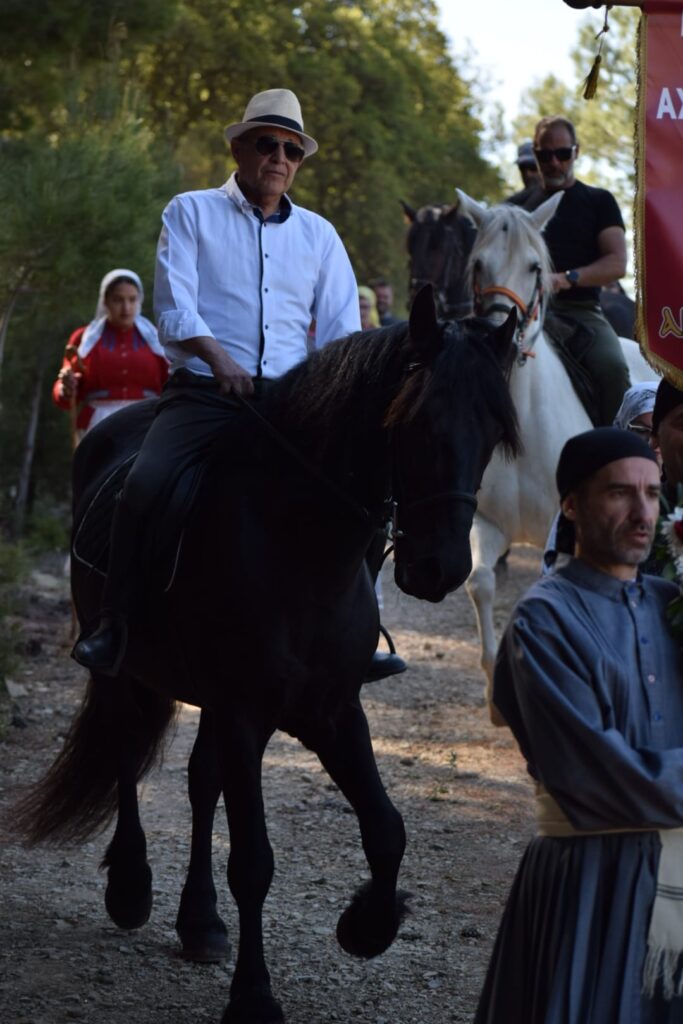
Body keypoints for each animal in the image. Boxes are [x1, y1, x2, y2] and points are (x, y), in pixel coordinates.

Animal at [15, 288, 518, 1024]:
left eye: (493, 427)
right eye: (417, 418)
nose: (439, 569)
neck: (297, 542)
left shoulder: (330, 711)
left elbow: (386, 829)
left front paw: (366, 925)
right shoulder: (247, 712)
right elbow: (253, 860)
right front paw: (253, 996)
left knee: (200, 782)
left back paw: (200, 922)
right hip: (128, 672)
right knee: (125, 752)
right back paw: (132, 887)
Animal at [456, 190, 655, 720]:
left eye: (533, 266)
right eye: (478, 263)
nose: (498, 330)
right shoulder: (486, 523)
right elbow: (481, 583)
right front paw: (497, 698)